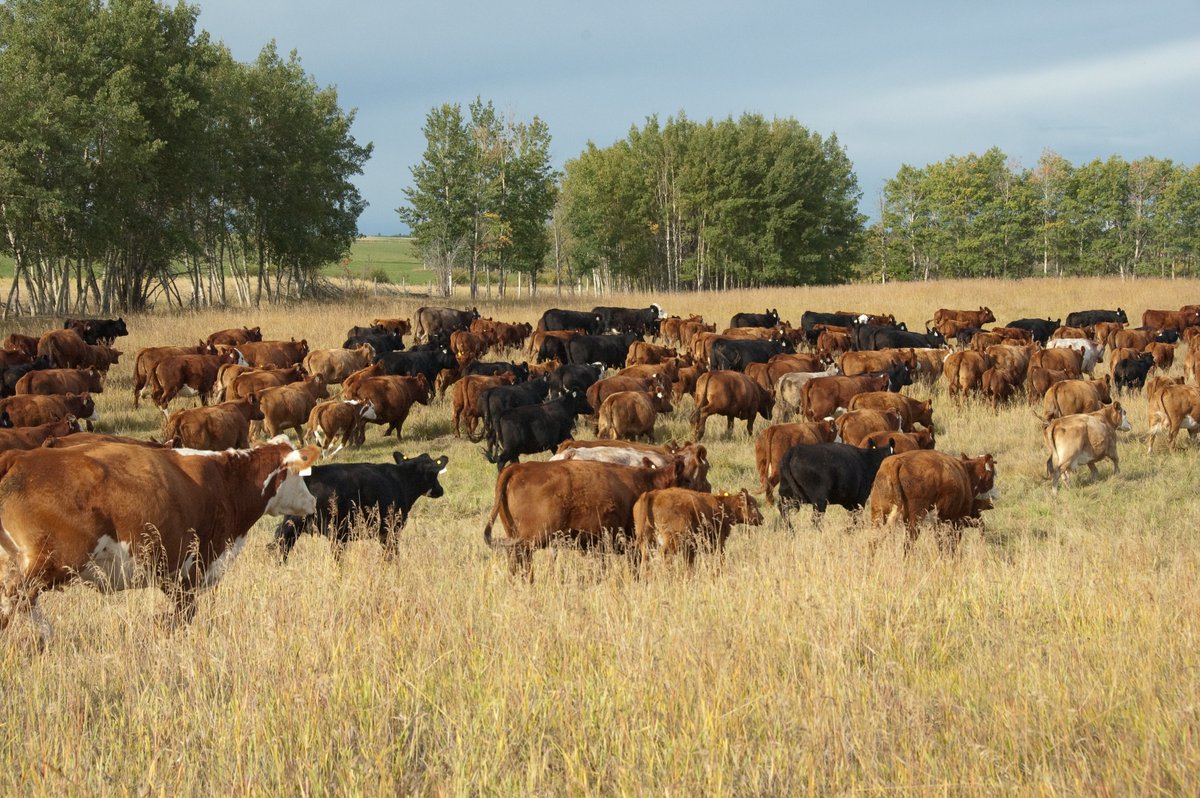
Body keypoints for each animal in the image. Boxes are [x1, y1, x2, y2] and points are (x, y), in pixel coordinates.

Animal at [0, 437, 319, 641]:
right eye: (301, 475)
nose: (313, 502)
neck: (226, 481)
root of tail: (20, 457)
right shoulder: (191, 567)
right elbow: (184, 614)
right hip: (53, 561)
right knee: (16, 597)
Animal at [272, 452, 447, 561]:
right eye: (434, 474)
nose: (440, 490)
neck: (403, 478)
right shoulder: (390, 530)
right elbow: (391, 555)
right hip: (334, 530)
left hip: (292, 524)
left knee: (280, 545)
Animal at [633, 488, 762, 569]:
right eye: (752, 504)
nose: (762, 518)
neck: (722, 506)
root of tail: (652, 494)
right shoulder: (718, 543)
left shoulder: (690, 548)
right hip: (672, 541)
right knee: (664, 556)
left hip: (647, 541)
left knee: (646, 558)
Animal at [868, 451, 997, 552]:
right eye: (991, 476)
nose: (993, 499)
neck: (966, 474)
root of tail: (897, 462)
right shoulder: (957, 521)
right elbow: (950, 544)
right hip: (915, 519)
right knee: (908, 544)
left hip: (879, 515)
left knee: (873, 541)